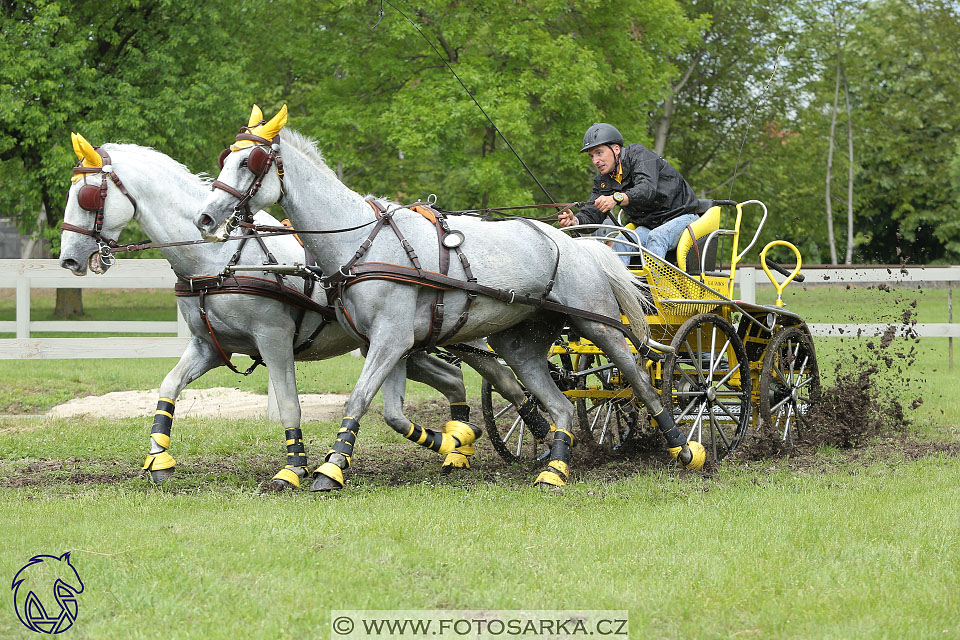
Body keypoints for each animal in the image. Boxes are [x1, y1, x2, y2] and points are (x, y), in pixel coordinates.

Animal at [62, 132, 532, 488]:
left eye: (88, 196)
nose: (68, 259)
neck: (220, 259)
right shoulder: (208, 347)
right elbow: (168, 387)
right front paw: (158, 461)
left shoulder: (274, 341)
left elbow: (290, 404)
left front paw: (296, 468)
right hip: (405, 346)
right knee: (457, 380)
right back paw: (458, 446)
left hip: (467, 333)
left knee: (507, 381)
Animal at [195, 106, 704, 490]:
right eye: (225, 159)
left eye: (250, 162)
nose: (206, 218)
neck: (362, 241)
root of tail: (578, 243)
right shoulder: (389, 344)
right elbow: (392, 413)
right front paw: (452, 443)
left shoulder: (390, 340)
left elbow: (357, 399)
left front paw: (329, 470)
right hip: (519, 343)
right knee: (557, 402)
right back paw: (554, 466)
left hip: (598, 325)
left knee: (639, 380)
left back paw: (685, 448)